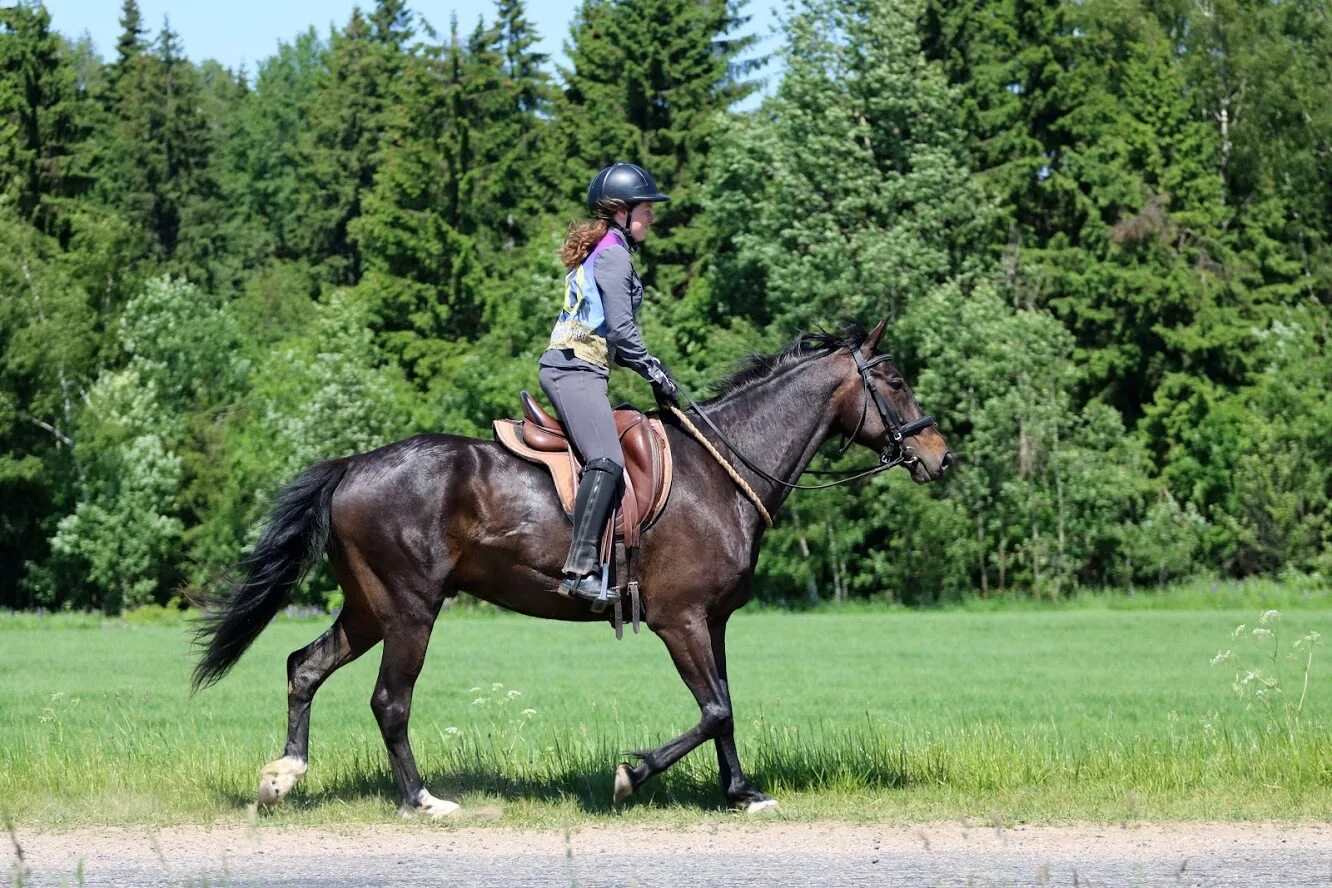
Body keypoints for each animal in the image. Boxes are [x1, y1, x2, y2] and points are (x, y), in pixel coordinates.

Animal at [193, 319, 953, 820]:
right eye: (894, 380)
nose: (940, 457)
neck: (722, 468)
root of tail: (354, 465)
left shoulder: (712, 622)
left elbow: (726, 711)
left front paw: (741, 793)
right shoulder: (680, 620)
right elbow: (714, 709)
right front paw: (632, 773)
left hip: (367, 608)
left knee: (304, 667)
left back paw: (283, 776)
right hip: (409, 610)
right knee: (389, 700)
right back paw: (420, 799)